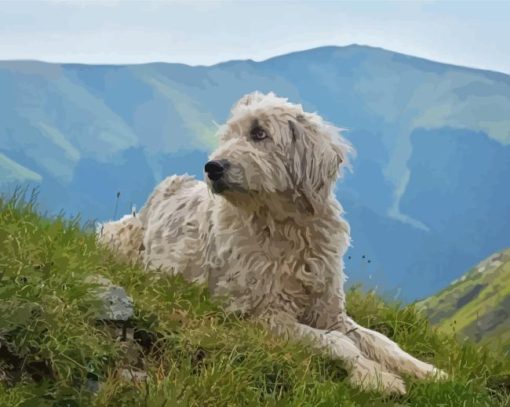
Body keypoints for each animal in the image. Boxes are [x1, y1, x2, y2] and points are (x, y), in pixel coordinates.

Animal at [97, 92, 444, 396]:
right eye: (229, 135)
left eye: (259, 133)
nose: (212, 167)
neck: (289, 231)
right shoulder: (261, 315)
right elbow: (337, 341)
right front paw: (374, 376)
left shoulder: (330, 311)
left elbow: (379, 340)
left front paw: (427, 370)